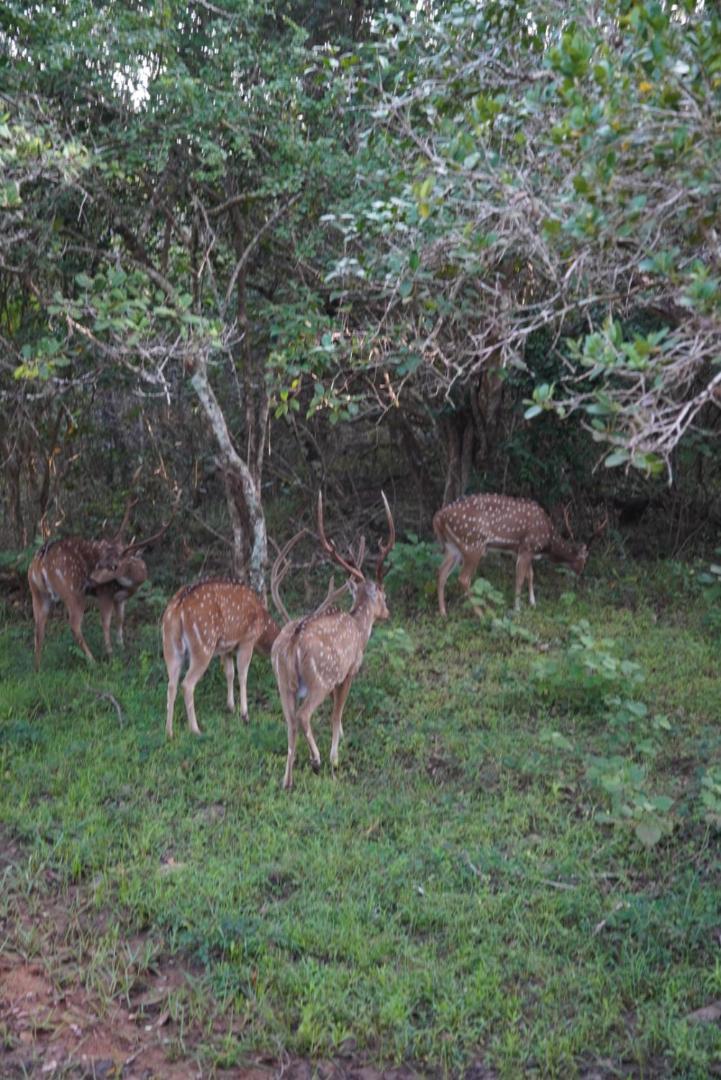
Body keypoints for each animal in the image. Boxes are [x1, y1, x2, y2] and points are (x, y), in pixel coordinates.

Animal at [27, 494, 171, 665]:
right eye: (102, 559)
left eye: (114, 565)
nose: (91, 579)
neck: (131, 585)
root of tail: (40, 561)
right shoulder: (105, 592)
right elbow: (106, 622)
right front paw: (111, 653)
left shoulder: (120, 599)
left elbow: (120, 619)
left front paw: (121, 646)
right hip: (72, 591)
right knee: (74, 625)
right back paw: (92, 661)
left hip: (37, 592)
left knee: (38, 628)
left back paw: (38, 667)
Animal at [162, 578, 278, 738]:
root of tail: (177, 608)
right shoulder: (247, 639)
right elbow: (242, 674)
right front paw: (245, 715)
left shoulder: (226, 648)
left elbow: (230, 673)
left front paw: (231, 707)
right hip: (203, 645)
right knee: (187, 684)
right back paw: (196, 730)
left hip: (170, 647)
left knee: (171, 685)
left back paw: (169, 732)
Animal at [268, 494, 395, 790]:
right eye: (383, 594)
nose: (387, 611)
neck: (359, 630)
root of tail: (293, 640)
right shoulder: (347, 672)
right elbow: (337, 715)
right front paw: (335, 756)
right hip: (320, 679)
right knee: (303, 715)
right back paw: (316, 760)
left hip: (282, 680)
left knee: (290, 722)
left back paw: (287, 780)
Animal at [433, 492, 608, 613]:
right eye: (585, 559)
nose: (580, 573)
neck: (547, 542)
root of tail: (438, 516)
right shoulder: (527, 548)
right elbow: (520, 579)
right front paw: (517, 608)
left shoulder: (524, 551)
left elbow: (531, 575)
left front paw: (533, 603)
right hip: (473, 544)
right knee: (463, 578)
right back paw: (481, 613)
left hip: (453, 547)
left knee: (441, 572)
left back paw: (443, 612)